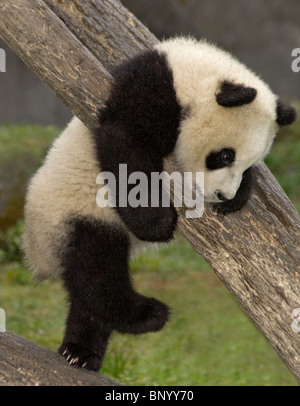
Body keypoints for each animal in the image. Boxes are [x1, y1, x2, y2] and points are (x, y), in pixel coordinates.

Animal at [22, 38, 296, 372]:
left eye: (245, 165)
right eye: (224, 155)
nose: (223, 195)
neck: (190, 71)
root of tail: (37, 252)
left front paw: (240, 195)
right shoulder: (151, 92)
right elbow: (126, 146)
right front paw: (158, 225)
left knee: (87, 296)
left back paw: (81, 353)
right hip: (70, 213)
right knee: (97, 271)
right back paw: (147, 314)